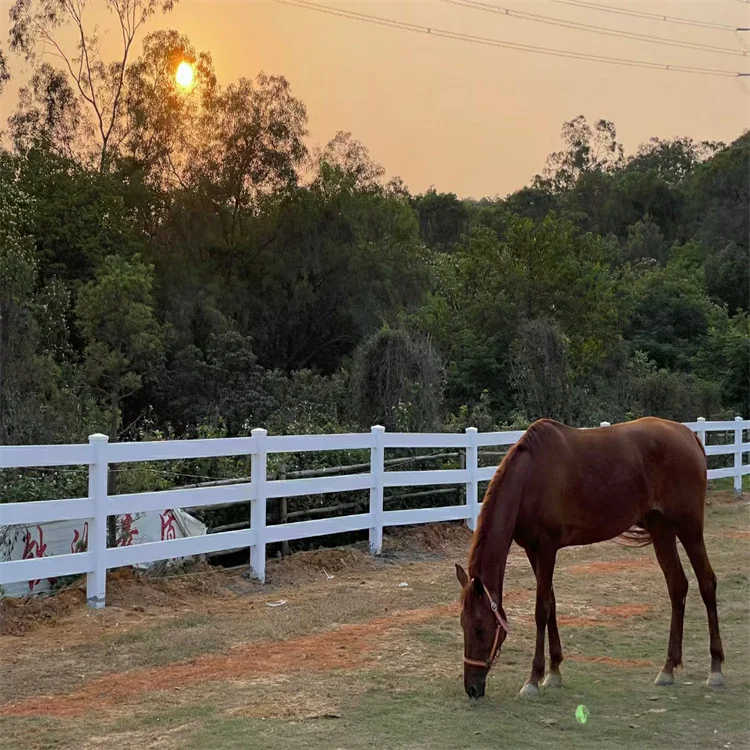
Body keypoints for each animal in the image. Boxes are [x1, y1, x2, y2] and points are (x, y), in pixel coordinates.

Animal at [455, 416, 724, 700]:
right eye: (462, 625)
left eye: (480, 628)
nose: (472, 688)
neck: (530, 478)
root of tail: (687, 434)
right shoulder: (532, 550)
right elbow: (551, 603)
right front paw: (554, 672)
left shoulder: (547, 548)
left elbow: (542, 609)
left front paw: (534, 678)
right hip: (660, 527)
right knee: (677, 586)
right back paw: (668, 668)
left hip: (688, 527)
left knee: (707, 583)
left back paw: (715, 669)